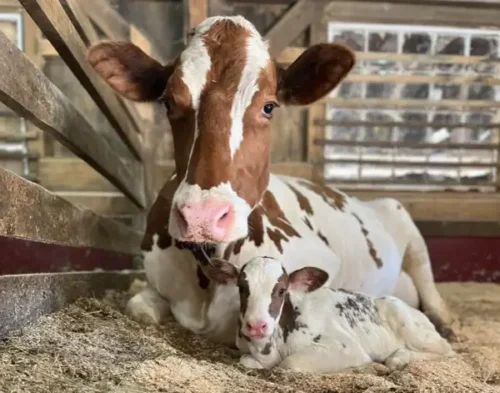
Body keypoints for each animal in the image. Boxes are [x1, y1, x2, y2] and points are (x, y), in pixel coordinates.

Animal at [88, 16, 456, 344]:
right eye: (167, 102)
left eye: (269, 107)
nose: (202, 216)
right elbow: (139, 304)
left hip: (404, 220)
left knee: (428, 284)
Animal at [201, 256, 456, 372]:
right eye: (242, 288)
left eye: (281, 290)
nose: (256, 326)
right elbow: (246, 360)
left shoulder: (345, 346)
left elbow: (290, 363)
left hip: (409, 324)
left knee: (446, 351)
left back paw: (399, 357)